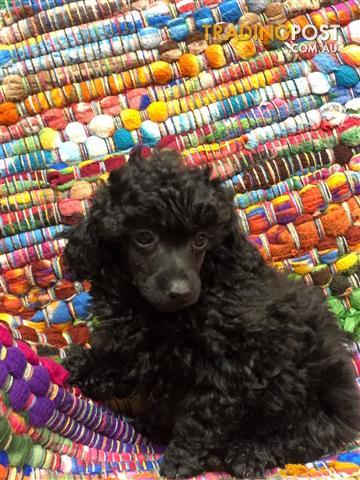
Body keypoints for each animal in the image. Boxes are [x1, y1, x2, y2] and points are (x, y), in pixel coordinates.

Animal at [64, 148, 360, 478]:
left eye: (200, 240)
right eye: (144, 237)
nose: (180, 291)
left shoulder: (229, 366)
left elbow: (202, 418)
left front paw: (180, 460)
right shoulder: (138, 338)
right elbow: (122, 356)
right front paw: (84, 366)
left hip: (315, 399)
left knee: (307, 434)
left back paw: (249, 452)